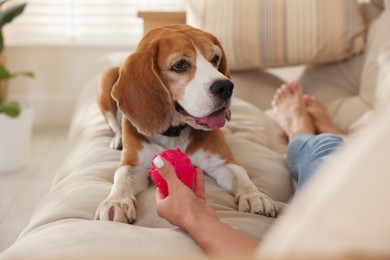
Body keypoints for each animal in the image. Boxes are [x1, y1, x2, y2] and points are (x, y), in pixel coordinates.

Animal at [95, 24, 276, 223]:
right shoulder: (133, 166)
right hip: (106, 78)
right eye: (180, 65)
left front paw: (254, 196)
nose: (226, 87)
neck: (175, 132)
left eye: (215, 58)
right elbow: (122, 179)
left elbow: (242, 177)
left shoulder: (224, 162)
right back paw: (117, 140)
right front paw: (116, 202)